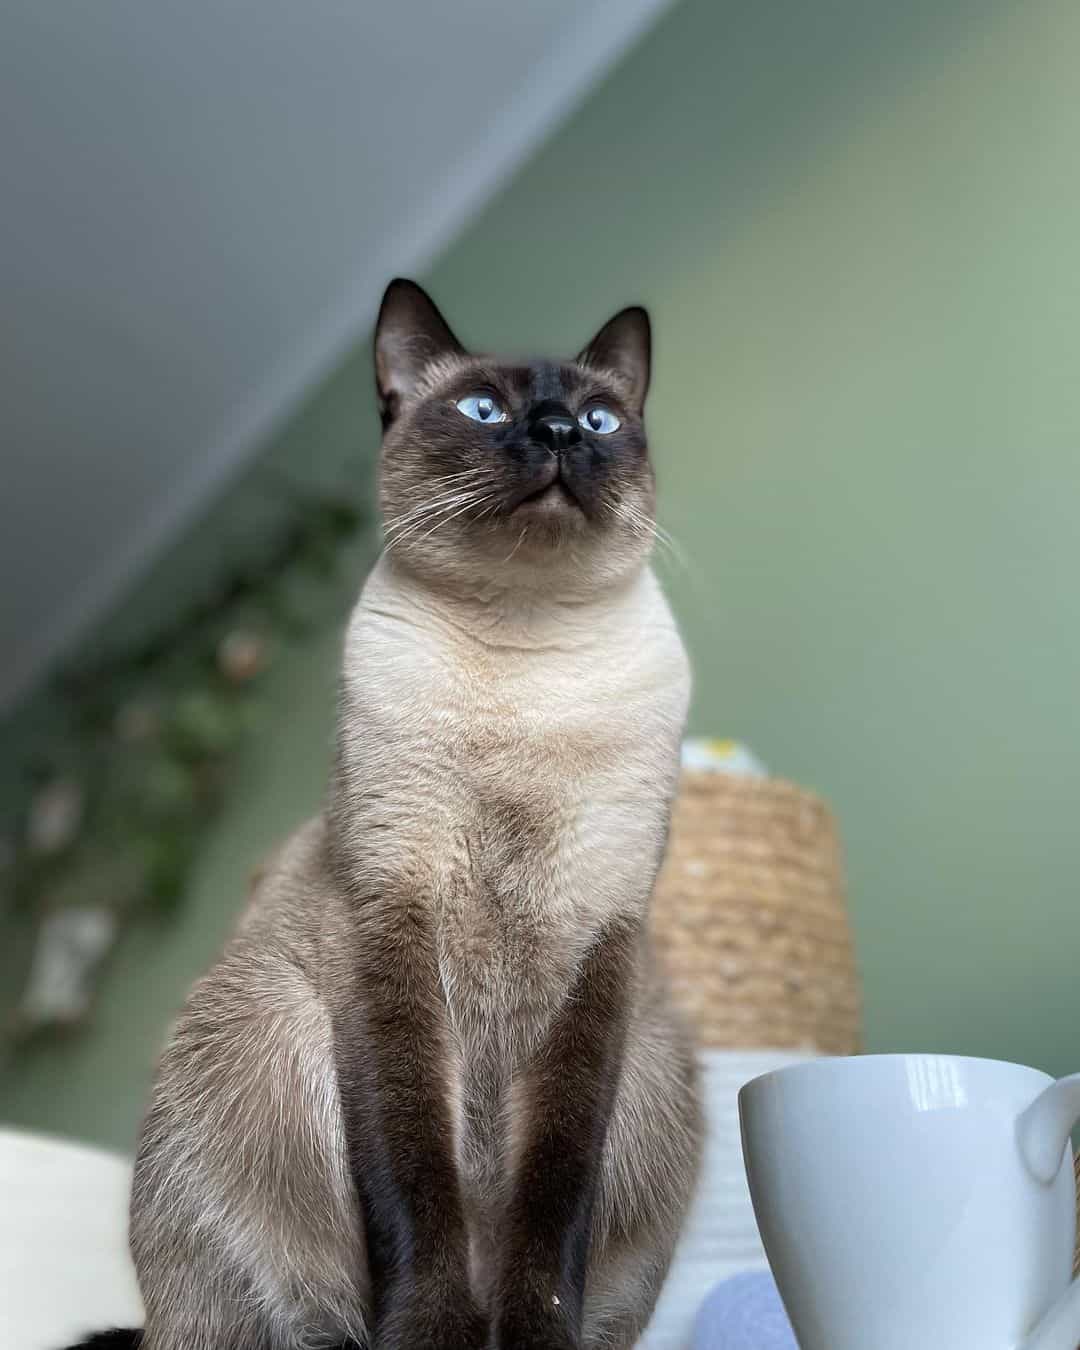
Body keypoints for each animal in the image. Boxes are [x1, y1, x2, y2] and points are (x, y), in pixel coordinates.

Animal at [73, 282, 702, 1350]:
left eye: (601, 420)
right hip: (265, 1027)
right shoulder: (387, 917)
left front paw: (526, 1339)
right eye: (484, 410)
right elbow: (415, 1176)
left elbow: (553, 1202)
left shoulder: (602, 944)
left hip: (663, 1074)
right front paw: (439, 1334)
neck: (522, 660)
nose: (556, 431)